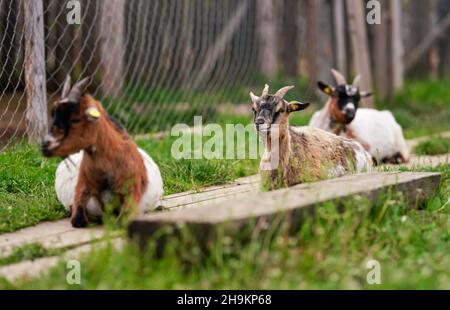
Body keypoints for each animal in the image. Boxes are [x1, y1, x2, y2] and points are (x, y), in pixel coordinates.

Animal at [42, 77, 163, 228]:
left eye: (76, 119)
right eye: (53, 113)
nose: (45, 145)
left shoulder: (132, 190)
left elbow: (121, 220)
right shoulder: (82, 186)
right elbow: (78, 219)